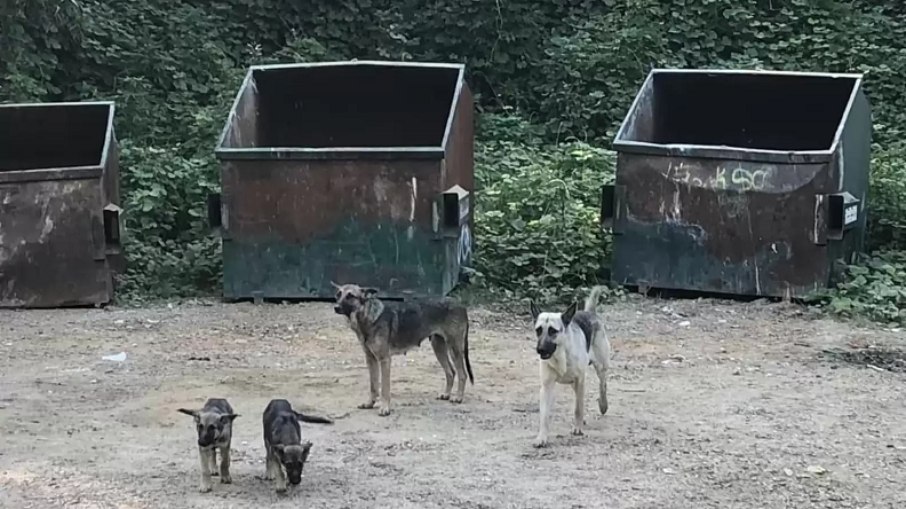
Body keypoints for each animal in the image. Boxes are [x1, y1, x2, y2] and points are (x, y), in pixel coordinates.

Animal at [528, 284, 612, 446]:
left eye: (552, 331)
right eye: (538, 330)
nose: (540, 349)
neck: (561, 354)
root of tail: (590, 312)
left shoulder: (580, 380)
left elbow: (578, 408)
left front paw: (577, 428)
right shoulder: (547, 386)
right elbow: (544, 415)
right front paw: (542, 437)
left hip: (600, 367)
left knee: (602, 385)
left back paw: (603, 405)